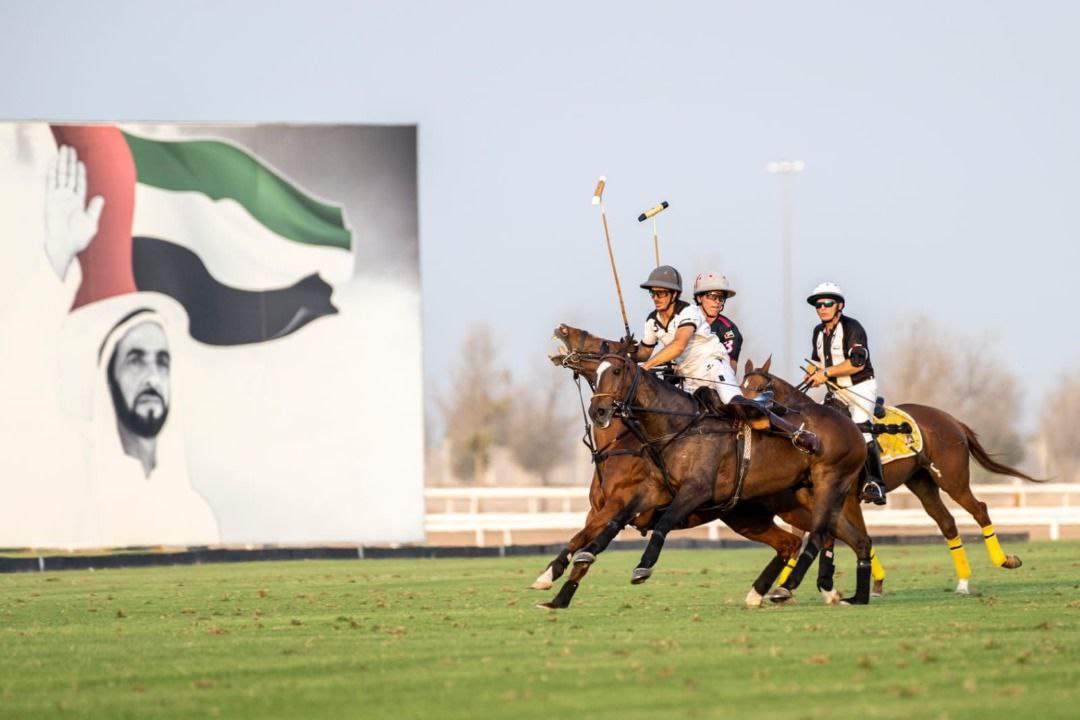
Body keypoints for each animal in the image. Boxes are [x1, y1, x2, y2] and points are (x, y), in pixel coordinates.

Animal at [738, 362, 1041, 595]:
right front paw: (784, 584)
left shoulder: (848, 498)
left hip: (952, 480)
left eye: (761, 389)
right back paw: (963, 582)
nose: (743, 409)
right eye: (742, 386)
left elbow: (850, 533)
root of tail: (952, 420)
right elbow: (815, 533)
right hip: (922, 483)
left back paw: (1005, 560)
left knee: (980, 509)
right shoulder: (812, 498)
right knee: (947, 522)